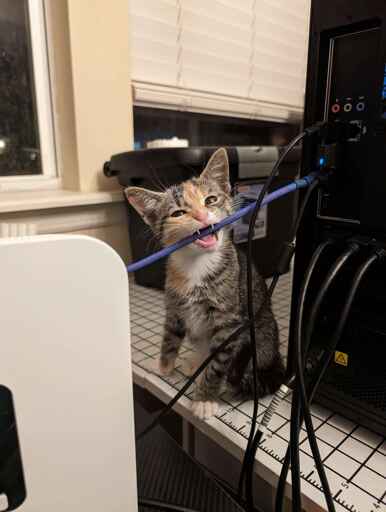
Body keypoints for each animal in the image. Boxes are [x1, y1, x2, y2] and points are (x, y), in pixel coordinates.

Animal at [125, 148, 284, 420]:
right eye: (178, 213)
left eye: (210, 200)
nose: (201, 215)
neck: (197, 264)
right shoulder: (174, 308)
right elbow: (169, 338)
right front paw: (163, 367)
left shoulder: (230, 322)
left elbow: (218, 364)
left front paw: (205, 398)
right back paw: (195, 362)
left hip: (259, 336)